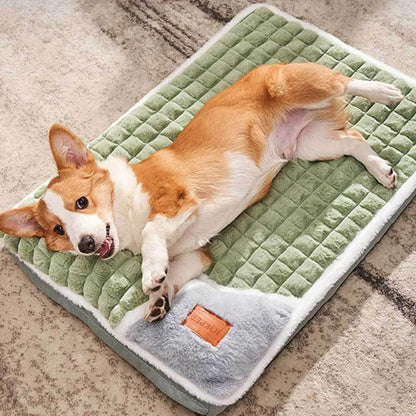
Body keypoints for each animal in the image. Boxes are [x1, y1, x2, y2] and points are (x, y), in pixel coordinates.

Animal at [0, 63, 404, 320]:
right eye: (58, 231)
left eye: (82, 202)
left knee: (345, 80)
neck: (126, 209)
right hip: (310, 145)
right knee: (354, 140)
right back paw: (382, 170)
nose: (85, 245)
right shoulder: (196, 253)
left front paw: (150, 272)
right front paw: (159, 299)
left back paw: (386, 92)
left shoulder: (177, 201)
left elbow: (152, 232)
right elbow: (175, 272)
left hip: (295, 84)